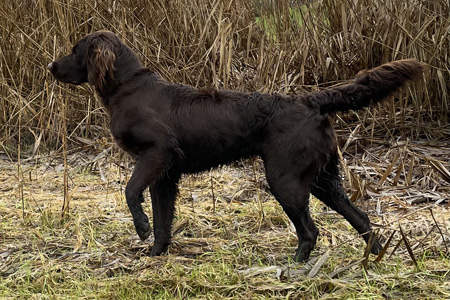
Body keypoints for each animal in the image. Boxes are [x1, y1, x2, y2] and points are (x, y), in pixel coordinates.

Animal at [47, 29, 424, 262]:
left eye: (76, 50)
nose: (50, 65)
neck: (127, 88)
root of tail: (311, 101)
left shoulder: (157, 153)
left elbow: (130, 192)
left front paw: (140, 228)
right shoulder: (165, 175)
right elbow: (163, 219)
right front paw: (156, 253)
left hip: (285, 180)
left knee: (310, 230)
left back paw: (294, 266)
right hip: (322, 179)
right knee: (362, 218)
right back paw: (374, 258)